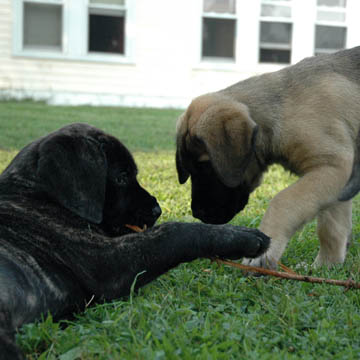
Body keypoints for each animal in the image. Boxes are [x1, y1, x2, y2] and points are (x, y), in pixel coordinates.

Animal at [0, 123, 268, 358]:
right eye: (121, 177)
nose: (157, 210)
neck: (34, 191)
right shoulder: (108, 262)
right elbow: (173, 233)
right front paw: (240, 236)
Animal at [176, 45, 360, 270]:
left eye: (206, 166)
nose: (197, 213)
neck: (281, 108)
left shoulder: (333, 167)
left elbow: (283, 201)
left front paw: (263, 252)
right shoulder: (339, 180)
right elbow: (332, 227)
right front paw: (326, 266)